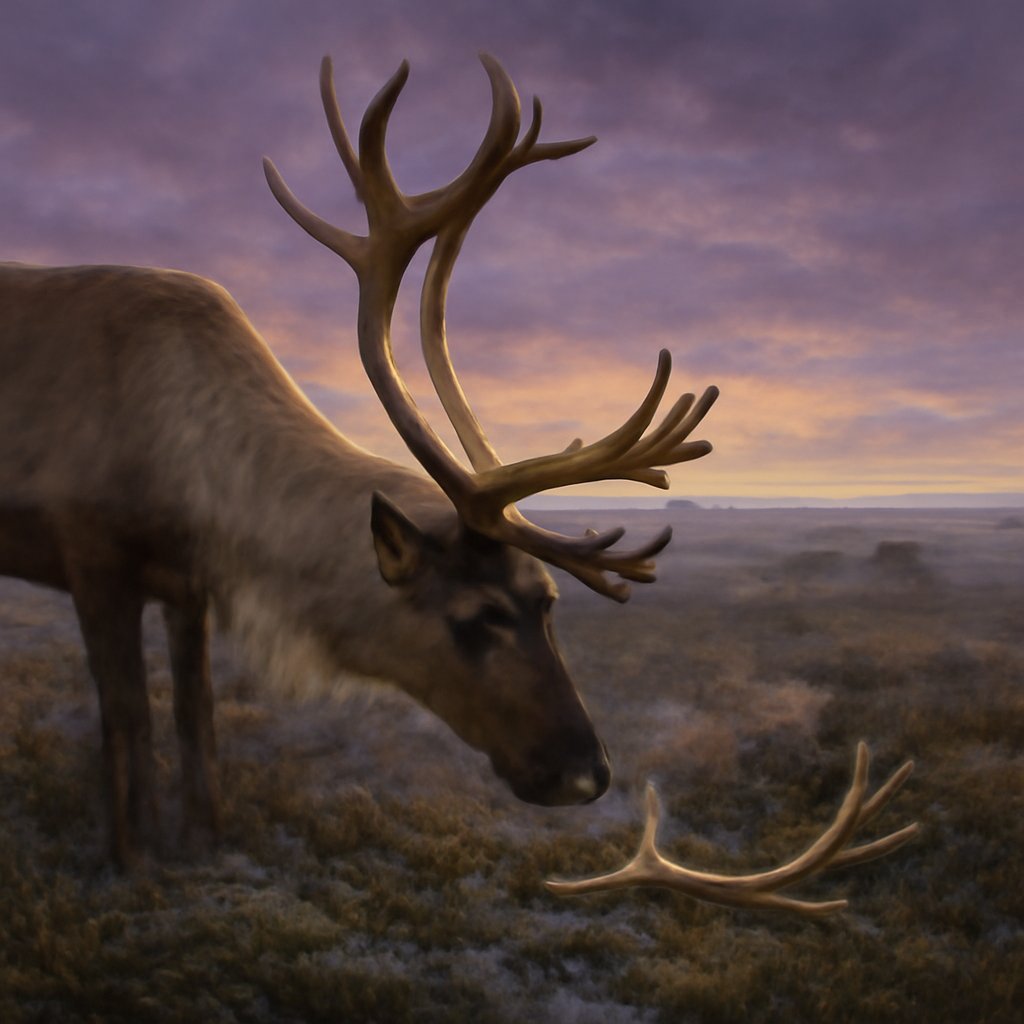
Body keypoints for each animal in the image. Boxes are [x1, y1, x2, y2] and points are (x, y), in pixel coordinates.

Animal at [0, 55, 718, 867]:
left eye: (548, 602)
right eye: (476, 616)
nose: (587, 774)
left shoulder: (187, 585)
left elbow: (194, 714)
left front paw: (202, 842)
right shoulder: (91, 557)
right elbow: (127, 718)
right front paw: (132, 859)